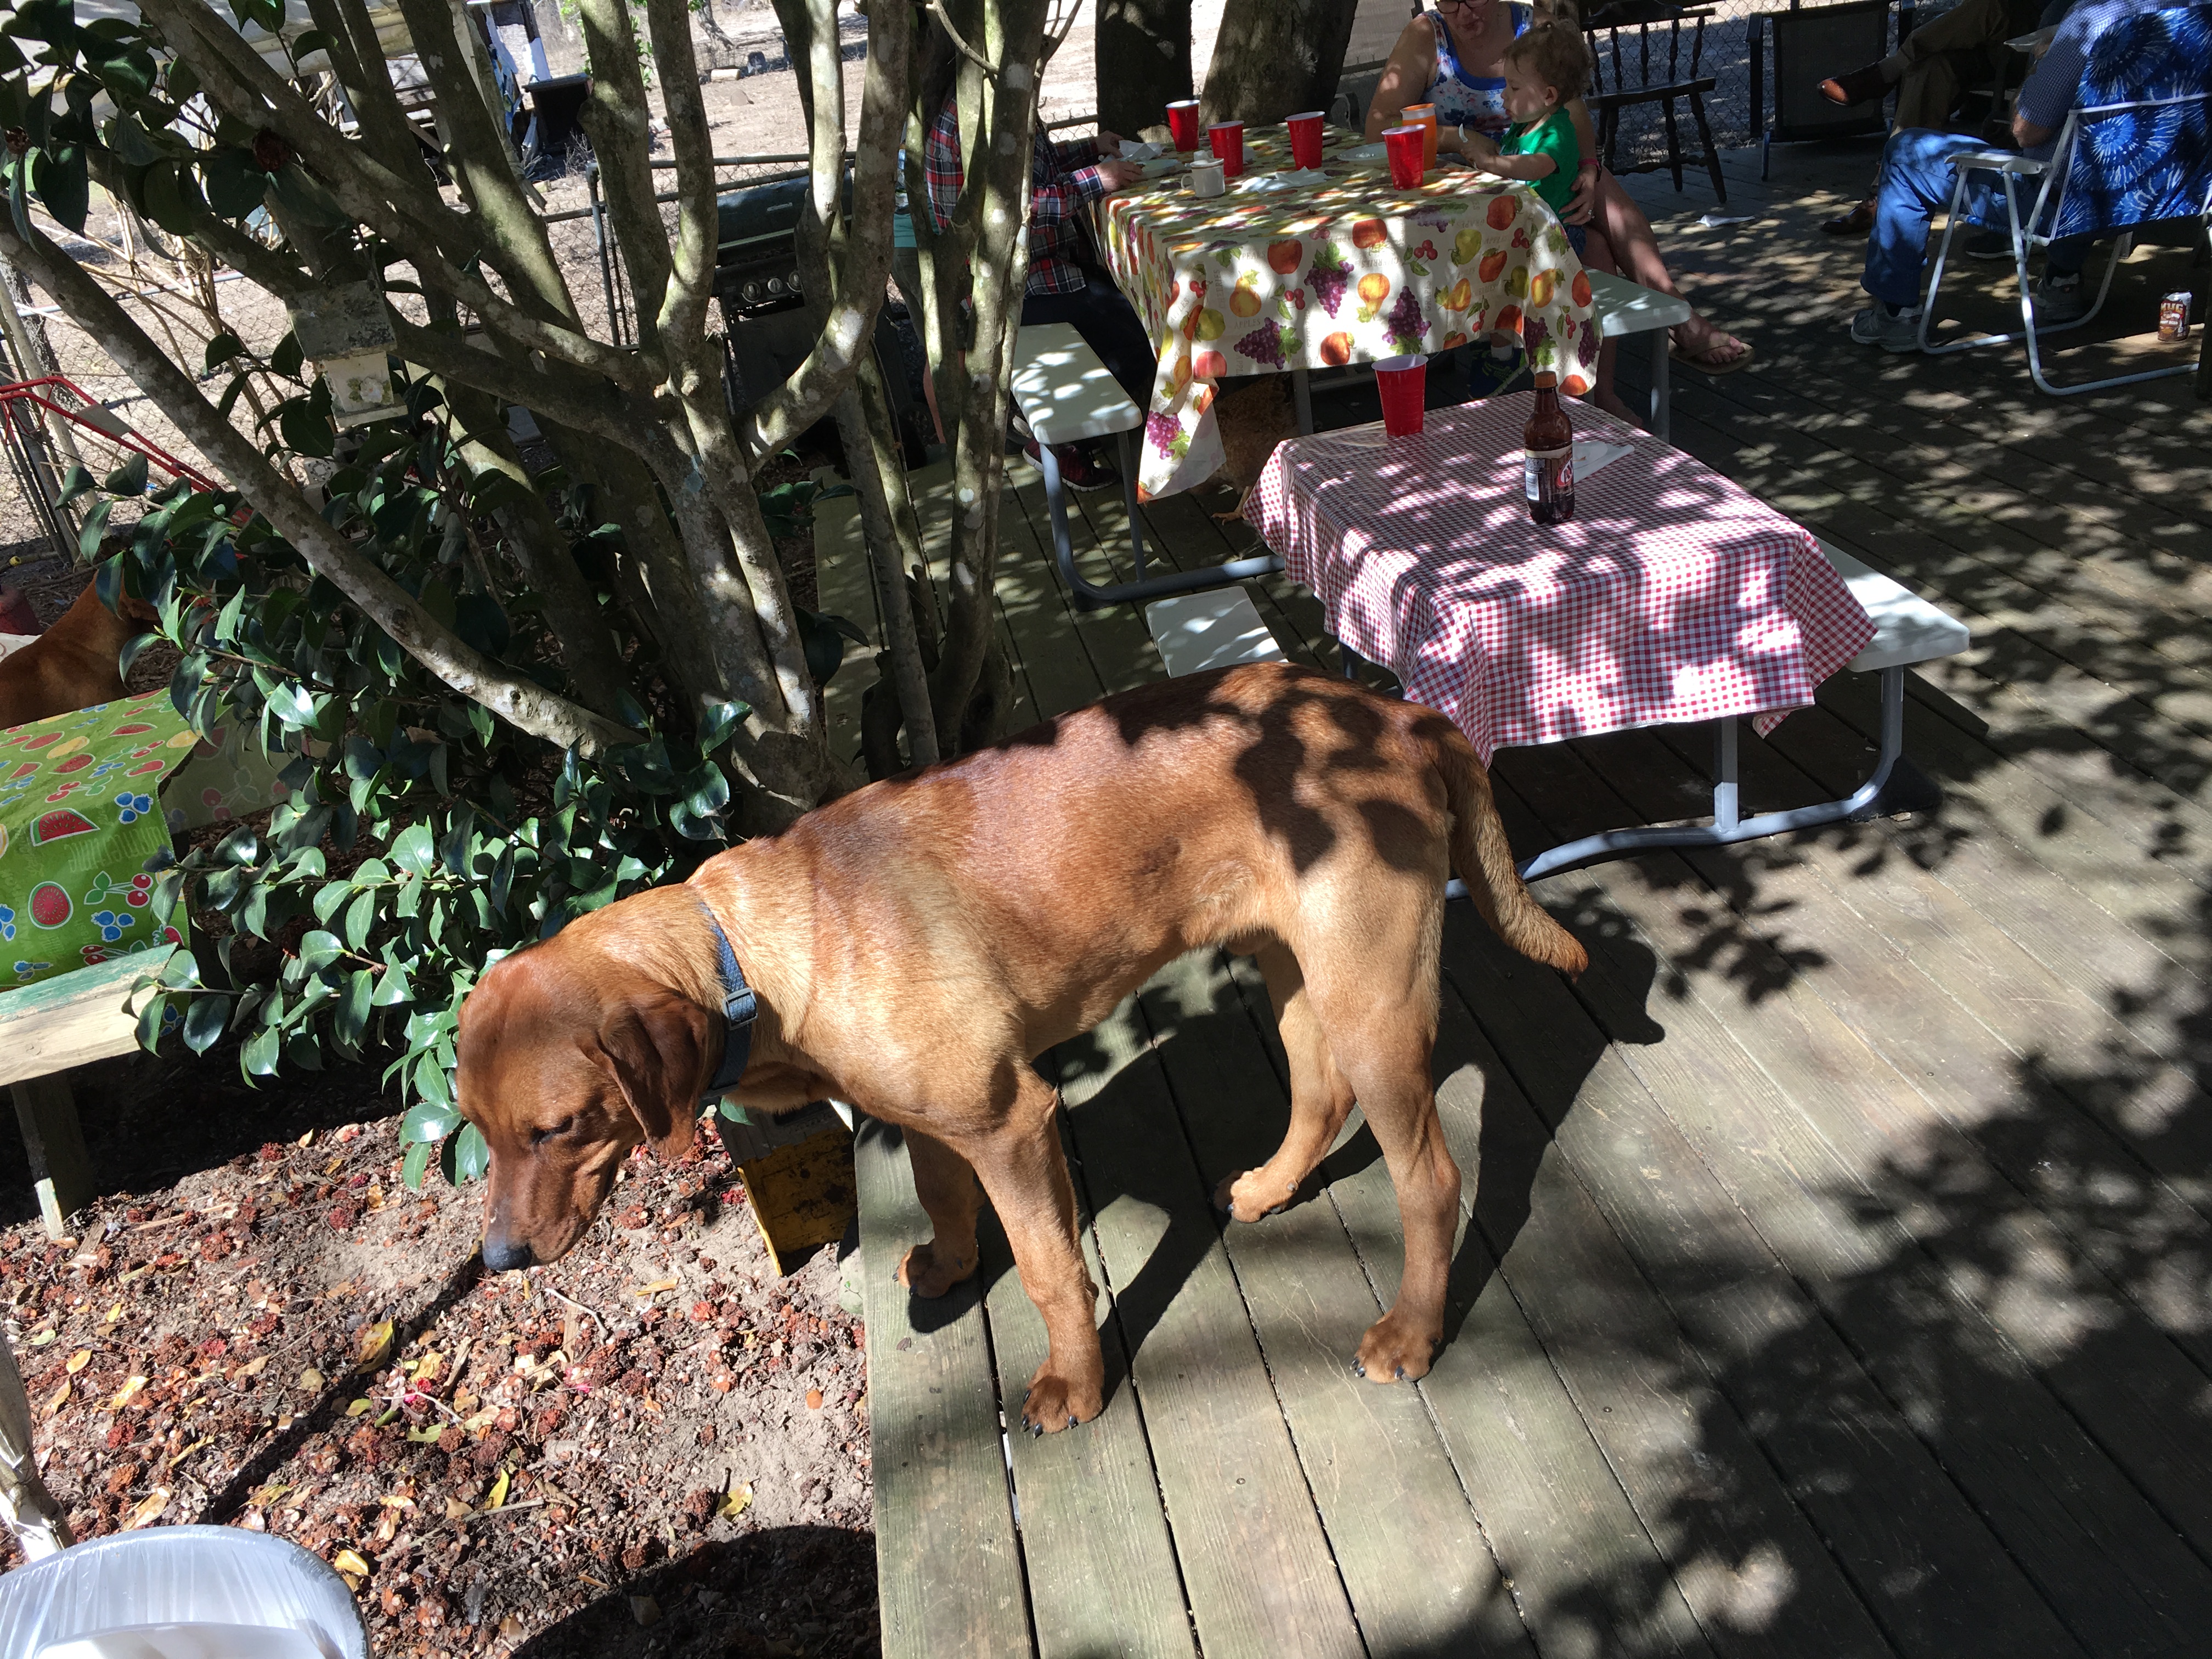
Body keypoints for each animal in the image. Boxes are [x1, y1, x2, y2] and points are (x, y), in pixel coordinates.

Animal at [454, 664, 1585, 1433]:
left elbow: (1047, 1269)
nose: (498, 1259)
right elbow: (945, 1200)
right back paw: (1269, 1185)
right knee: (1317, 1092)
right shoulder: (931, 1115)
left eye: (558, 1126)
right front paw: (951, 1265)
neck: (756, 951)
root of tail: (1394, 711)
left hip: (1370, 995)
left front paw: (1073, 1385)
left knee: (1431, 1177)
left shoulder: (1011, 1120)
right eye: (477, 1131)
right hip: (1294, 967)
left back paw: (1410, 1332)